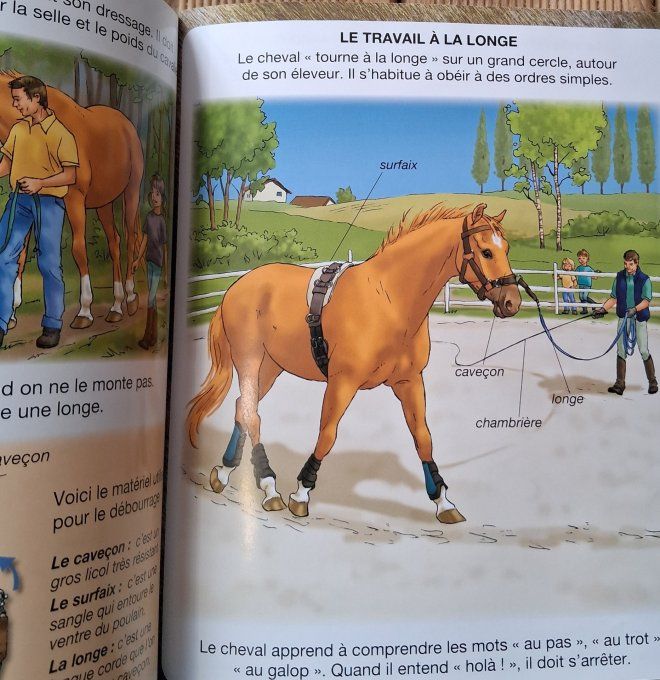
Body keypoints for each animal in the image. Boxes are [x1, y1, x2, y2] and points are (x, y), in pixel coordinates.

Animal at [0, 70, 144, 329]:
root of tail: (127, 125)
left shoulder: (74, 201)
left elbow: (78, 249)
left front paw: (84, 311)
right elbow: (20, 254)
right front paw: (12, 313)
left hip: (132, 191)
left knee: (129, 238)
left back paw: (130, 298)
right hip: (104, 203)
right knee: (114, 243)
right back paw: (116, 307)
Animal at [187, 203, 522, 523]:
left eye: (506, 248)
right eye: (486, 251)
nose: (512, 302)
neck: (388, 300)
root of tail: (237, 287)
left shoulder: (409, 381)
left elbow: (422, 437)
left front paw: (442, 502)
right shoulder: (342, 382)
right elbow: (327, 433)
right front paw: (302, 493)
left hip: (270, 367)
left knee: (244, 407)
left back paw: (229, 474)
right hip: (250, 360)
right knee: (251, 413)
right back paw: (269, 486)